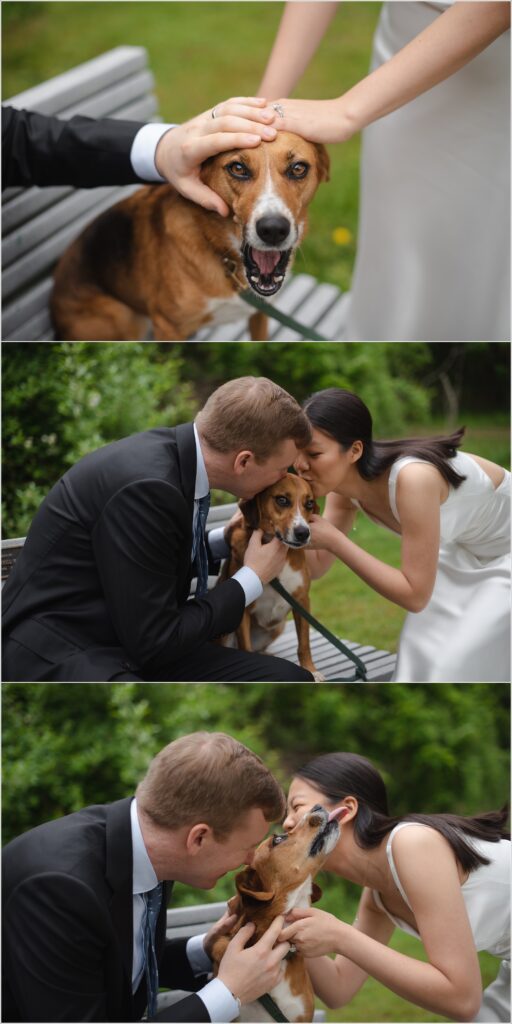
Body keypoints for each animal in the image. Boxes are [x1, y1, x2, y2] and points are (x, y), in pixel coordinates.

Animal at [51, 130, 329, 339]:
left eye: (298, 168)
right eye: (238, 168)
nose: (273, 229)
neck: (226, 260)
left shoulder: (260, 314)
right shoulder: (167, 326)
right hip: (123, 316)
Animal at [219, 473, 323, 679]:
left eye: (309, 503)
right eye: (282, 500)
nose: (303, 533)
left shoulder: (301, 601)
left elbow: (304, 644)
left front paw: (311, 671)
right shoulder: (243, 609)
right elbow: (245, 648)